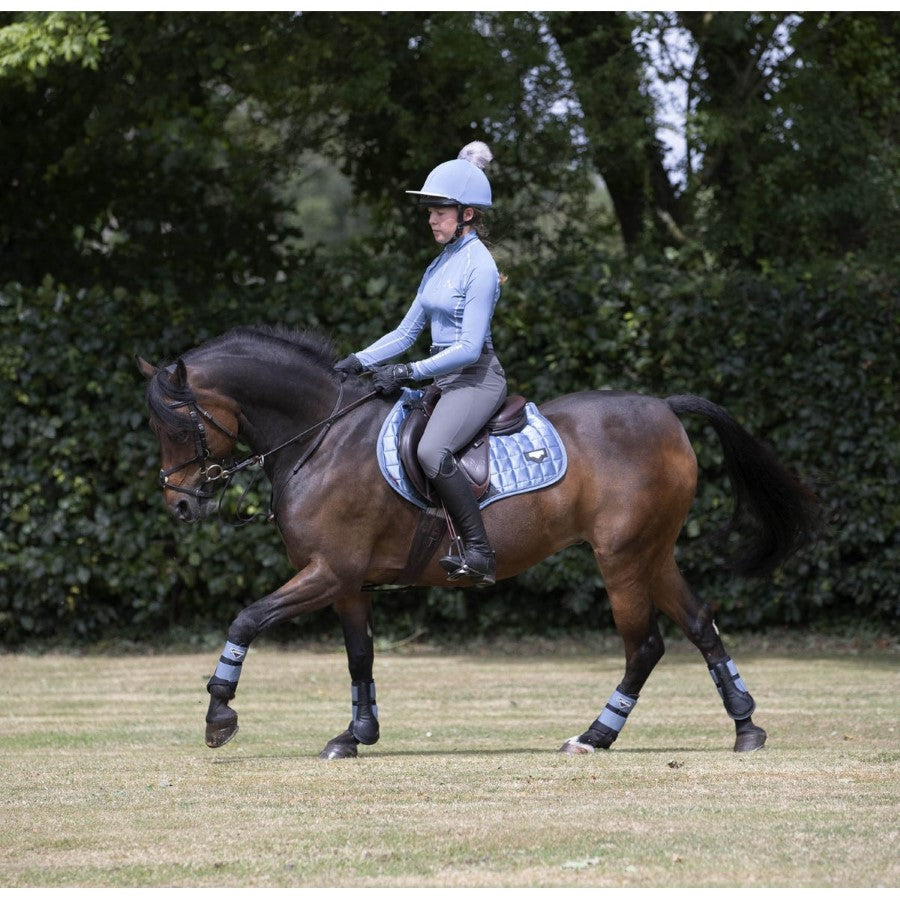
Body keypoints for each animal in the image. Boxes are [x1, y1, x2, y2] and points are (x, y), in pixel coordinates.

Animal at [137, 324, 820, 760]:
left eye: (178, 423)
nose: (180, 504)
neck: (321, 437)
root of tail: (663, 407)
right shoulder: (347, 582)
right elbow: (360, 657)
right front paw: (356, 735)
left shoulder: (328, 572)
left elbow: (247, 618)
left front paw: (219, 715)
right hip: (654, 552)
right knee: (700, 623)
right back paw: (745, 725)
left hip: (622, 557)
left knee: (645, 645)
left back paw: (594, 737)